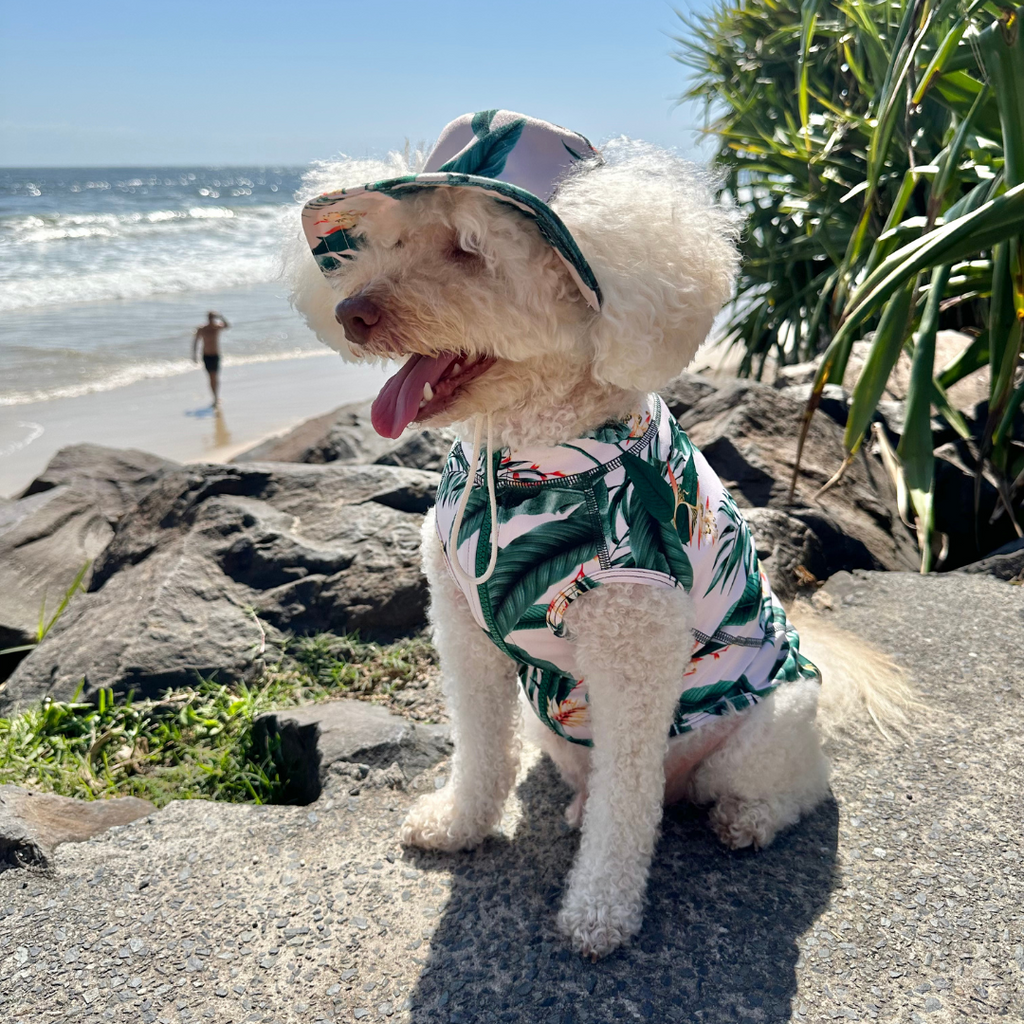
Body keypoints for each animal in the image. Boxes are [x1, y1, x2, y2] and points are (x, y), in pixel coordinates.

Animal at [290, 108, 913, 954]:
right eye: (381, 243)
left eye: (467, 250)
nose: (352, 314)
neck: (524, 460)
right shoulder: (461, 629)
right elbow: (478, 745)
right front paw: (458, 824)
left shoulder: (631, 656)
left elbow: (628, 802)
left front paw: (600, 912)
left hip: (766, 727)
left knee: (789, 787)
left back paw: (746, 819)